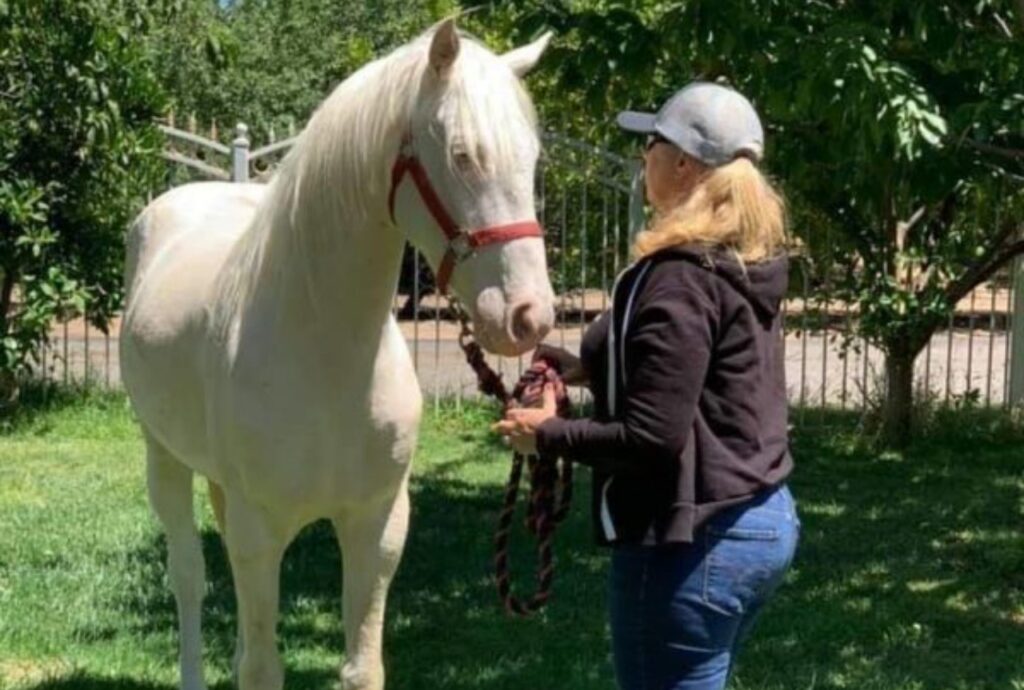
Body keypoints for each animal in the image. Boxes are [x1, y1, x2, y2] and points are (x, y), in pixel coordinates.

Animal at [121, 21, 561, 687]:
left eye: (531, 159)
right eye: (462, 155)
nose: (528, 316)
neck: (328, 357)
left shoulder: (377, 526)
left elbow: (359, 666)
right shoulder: (260, 530)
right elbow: (261, 666)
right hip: (163, 457)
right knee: (189, 580)